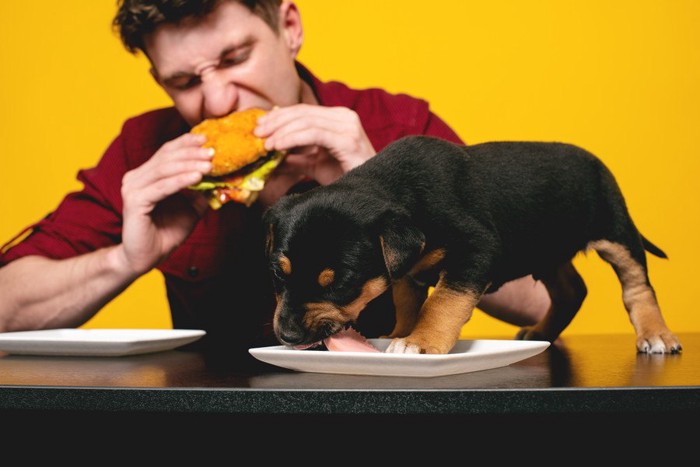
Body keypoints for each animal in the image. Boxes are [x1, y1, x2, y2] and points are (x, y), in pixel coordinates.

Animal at [264, 135, 684, 354]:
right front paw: (400, 334)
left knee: (637, 285)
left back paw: (656, 335)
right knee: (572, 289)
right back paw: (541, 332)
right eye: (278, 275)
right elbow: (408, 302)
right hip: (544, 250)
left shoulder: (476, 249)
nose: (288, 336)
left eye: (339, 284)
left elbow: (442, 303)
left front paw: (419, 343)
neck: (401, 191)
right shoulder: (406, 268)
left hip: (616, 230)